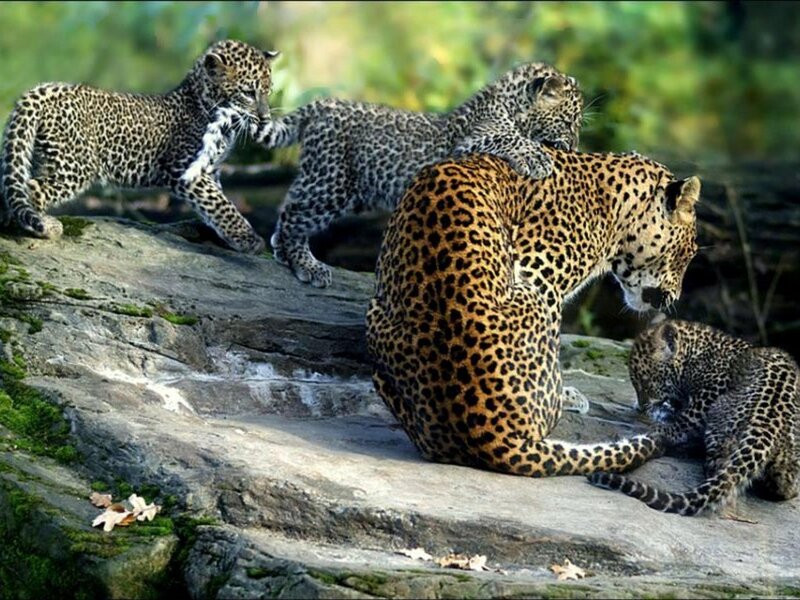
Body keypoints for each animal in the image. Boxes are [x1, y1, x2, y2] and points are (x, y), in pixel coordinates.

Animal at [0, 39, 279, 254]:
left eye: (268, 91)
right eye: (248, 93)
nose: (265, 117)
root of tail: (43, 89)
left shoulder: (211, 170)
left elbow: (216, 203)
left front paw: (223, 235)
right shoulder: (185, 171)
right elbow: (221, 204)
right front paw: (249, 239)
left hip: (44, 155)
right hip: (75, 165)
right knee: (31, 189)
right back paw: (43, 226)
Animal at [254, 62, 584, 287]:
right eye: (568, 123)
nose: (573, 146)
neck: (508, 104)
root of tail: (322, 105)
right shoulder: (468, 143)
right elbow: (509, 138)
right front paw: (538, 159)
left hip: (334, 181)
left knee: (290, 203)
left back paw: (281, 250)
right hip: (332, 180)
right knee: (296, 214)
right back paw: (307, 265)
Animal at [366, 148, 701, 477]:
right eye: (687, 253)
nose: (675, 296)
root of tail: (491, 436)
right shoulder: (540, 277)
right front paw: (568, 394)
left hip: (375, 316)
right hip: (533, 295)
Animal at [588, 320, 800, 516]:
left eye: (646, 383)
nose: (641, 406)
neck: (696, 352)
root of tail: (767, 422)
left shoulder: (710, 392)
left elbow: (684, 419)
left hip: (719, 419)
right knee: (783, 486)